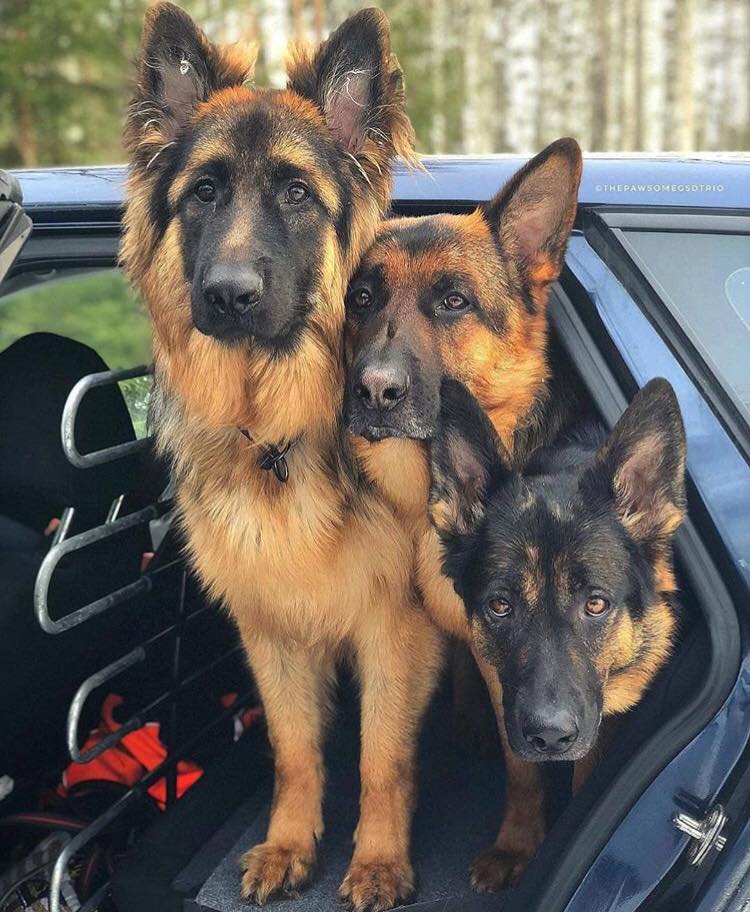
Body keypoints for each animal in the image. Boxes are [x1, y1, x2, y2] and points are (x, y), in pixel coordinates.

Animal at [121, 5, 444, 909]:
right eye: (203, 192)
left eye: (298, 194)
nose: (229, 295)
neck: (275, 435)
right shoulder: (270, 629)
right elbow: (295, 751)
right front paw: (292, 845)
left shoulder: (394, 630)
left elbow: (381, 760)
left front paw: (377, 861)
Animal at [428, 376, 685, 873]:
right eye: (500, 606)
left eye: (596, 604)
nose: (549, 736)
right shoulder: (505, 693)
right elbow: (521, 771)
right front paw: (517, 845)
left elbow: (589, 767)